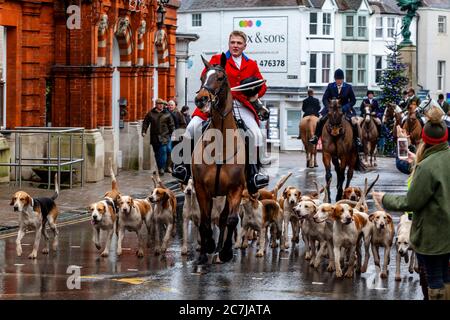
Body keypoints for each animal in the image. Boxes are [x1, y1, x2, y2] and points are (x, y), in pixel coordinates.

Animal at [191, 54, 246, 264]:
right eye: (202, 77)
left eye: (221, 78)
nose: (201, 99)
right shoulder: (201, 188)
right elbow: (205, 221)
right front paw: (206, 247)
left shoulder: (236, 188)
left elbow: (231, 220)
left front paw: (226, 251)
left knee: (224, 219)